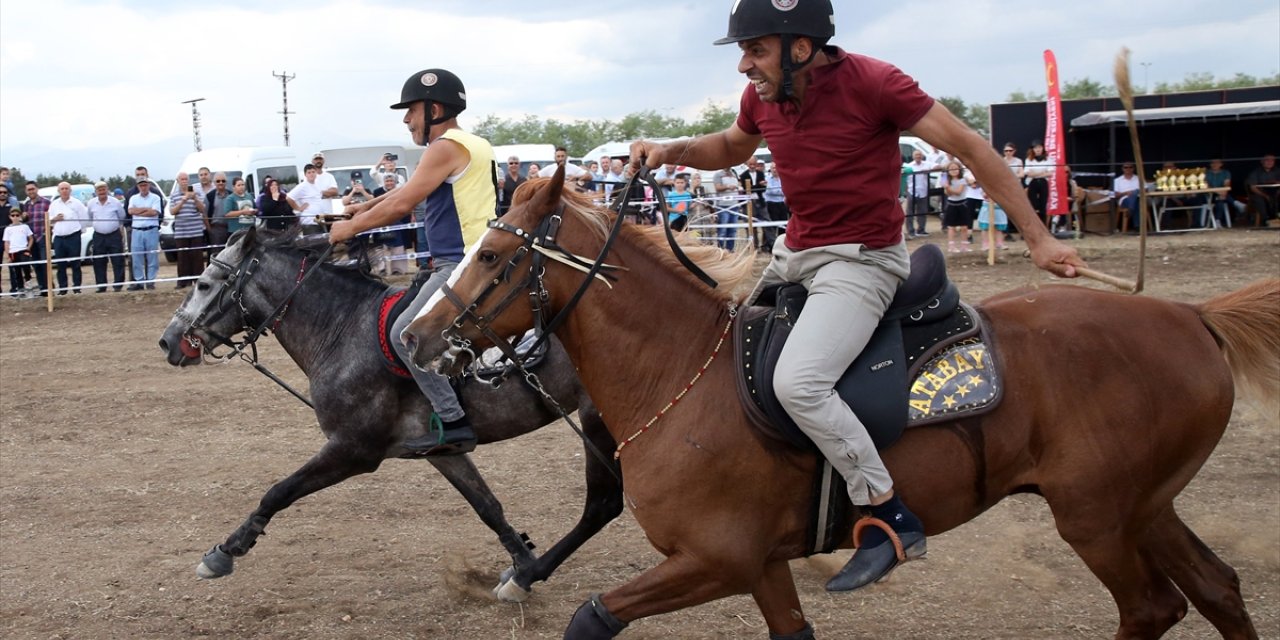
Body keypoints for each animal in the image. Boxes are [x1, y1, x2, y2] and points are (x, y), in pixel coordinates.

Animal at [160, 227, 619, 601]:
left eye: (204, 283)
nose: (168, 341)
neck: (343, 328)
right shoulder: (444, 452)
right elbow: (488, 507)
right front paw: (520, 558)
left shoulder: (354, 449)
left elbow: (279, 491)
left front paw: (225, 551)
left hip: (598, 423)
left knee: (602, 506)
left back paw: (531, 578)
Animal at [404, 171, 1274, 640]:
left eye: (492, 254)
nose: (415, 335)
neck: (683, 376)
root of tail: (1190, 316)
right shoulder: (758, 565)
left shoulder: (713, 560)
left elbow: (592, 616)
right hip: (1143, 507)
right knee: (1218, 588)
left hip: (1097, 517)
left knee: (1154, 607)